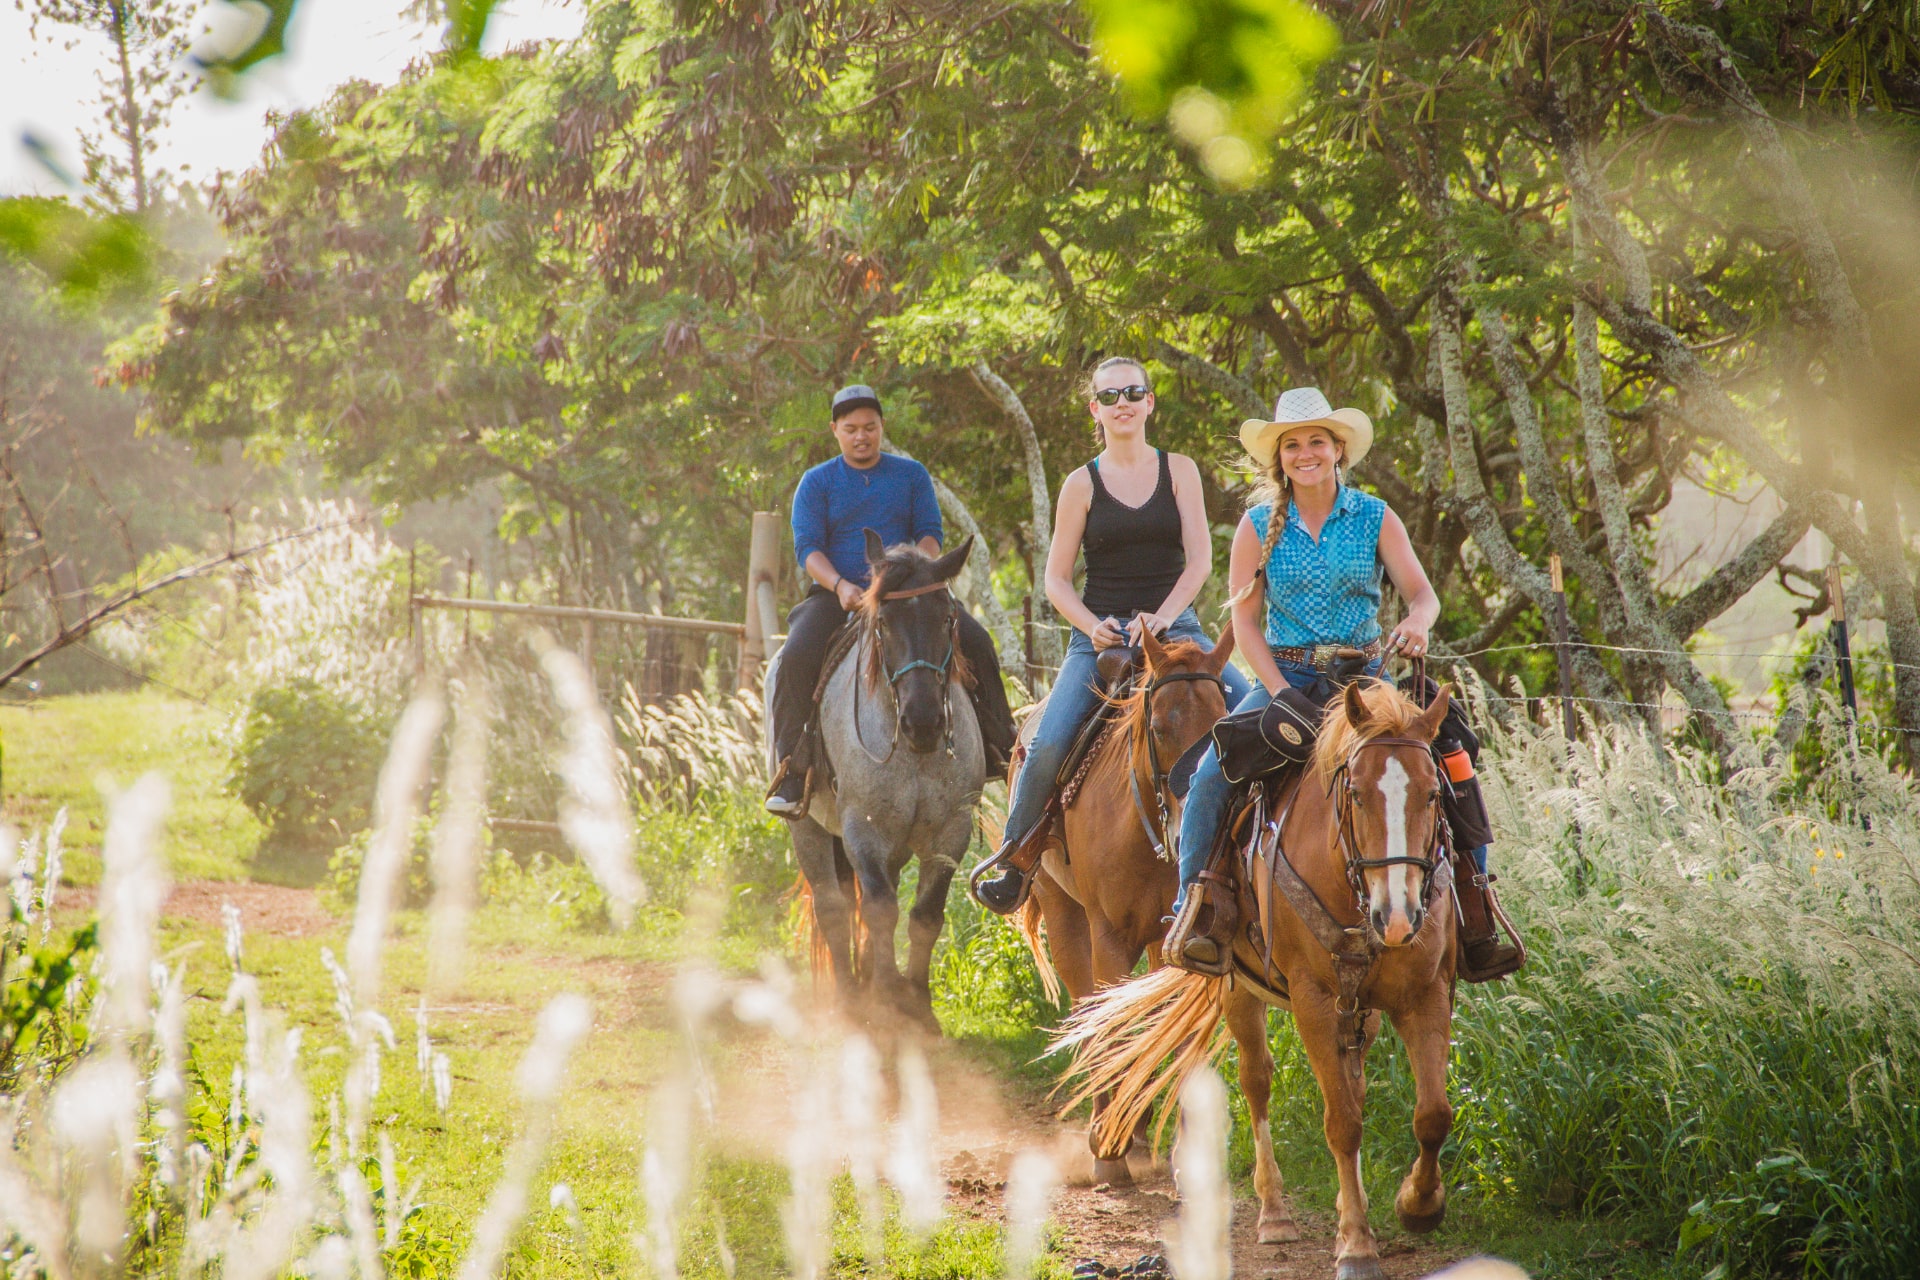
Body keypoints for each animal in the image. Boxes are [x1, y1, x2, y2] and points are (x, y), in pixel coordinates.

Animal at [760, 529, 983, 1028]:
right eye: (883, 621)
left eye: (948, 619)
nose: (923, 722)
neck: (913, 754)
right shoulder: (863, 830)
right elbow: (880, 911)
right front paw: (884, 999)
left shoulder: (950, 833)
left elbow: (925, 915)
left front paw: (917, 1003)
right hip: (809, 828)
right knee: (834, 906)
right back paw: (848, 997)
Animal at [1052, 679, 1451, 1280]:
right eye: (1357, 794)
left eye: (1431, 794)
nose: (1399, 917)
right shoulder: (1312, 1000)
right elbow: (1343, 1122)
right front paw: (1357, 1246)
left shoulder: (1424, 995)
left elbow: (1431, 1116)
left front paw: (1415, 1205)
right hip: (1239, 991)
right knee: (1258, 1081)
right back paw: (1274, 1213)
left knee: (1353, 1084)